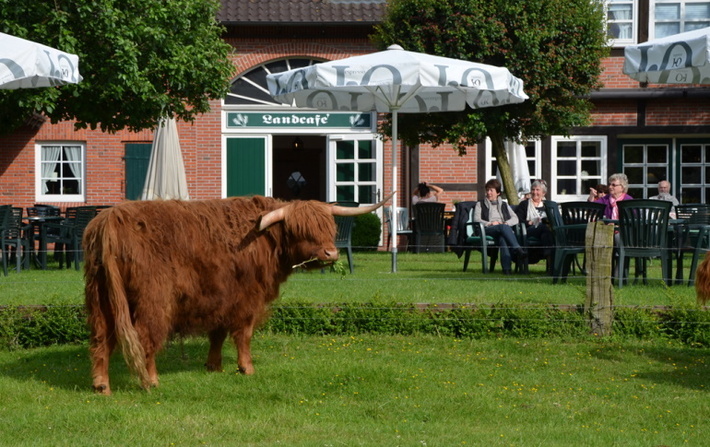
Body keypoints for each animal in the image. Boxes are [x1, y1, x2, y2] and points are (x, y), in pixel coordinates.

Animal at [87, 196, 394, 396]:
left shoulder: (223, 298)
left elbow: (218, 334)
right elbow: (243, 335)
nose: (331, 253)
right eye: (301, 230)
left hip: (102, 299)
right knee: (145, 339)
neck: (265, 240)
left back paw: (102, 385)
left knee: (101, 340)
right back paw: (151, 382)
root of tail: (112, 220)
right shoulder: (248, 298)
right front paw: (246, 368)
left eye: (328, 228)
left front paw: (213, 366)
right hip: (154, 301)